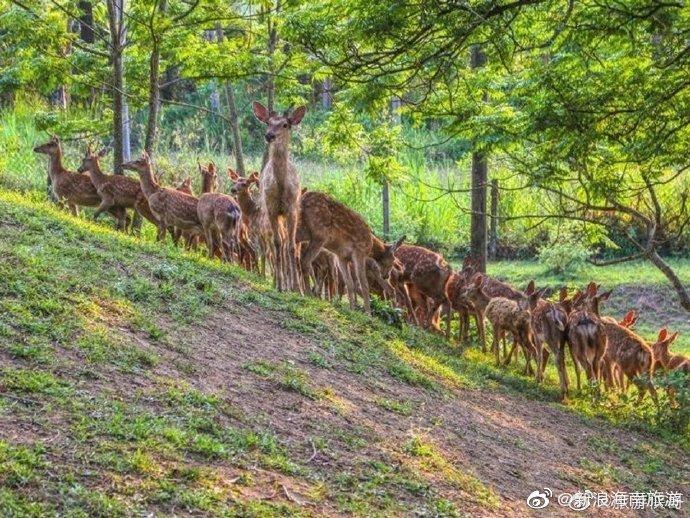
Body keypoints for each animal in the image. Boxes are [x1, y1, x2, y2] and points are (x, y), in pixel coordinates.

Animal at [250, 102, 304, 292]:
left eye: (285, 124)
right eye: (268, 122)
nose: (269, 135)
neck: (281, 188)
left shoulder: (291, 209)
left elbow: (291, 245)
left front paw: (296, 287)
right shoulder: (272, 208)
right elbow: (277, 243)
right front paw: (280, 285)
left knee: (290, 243)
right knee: (280, 242)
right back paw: (282, 283)